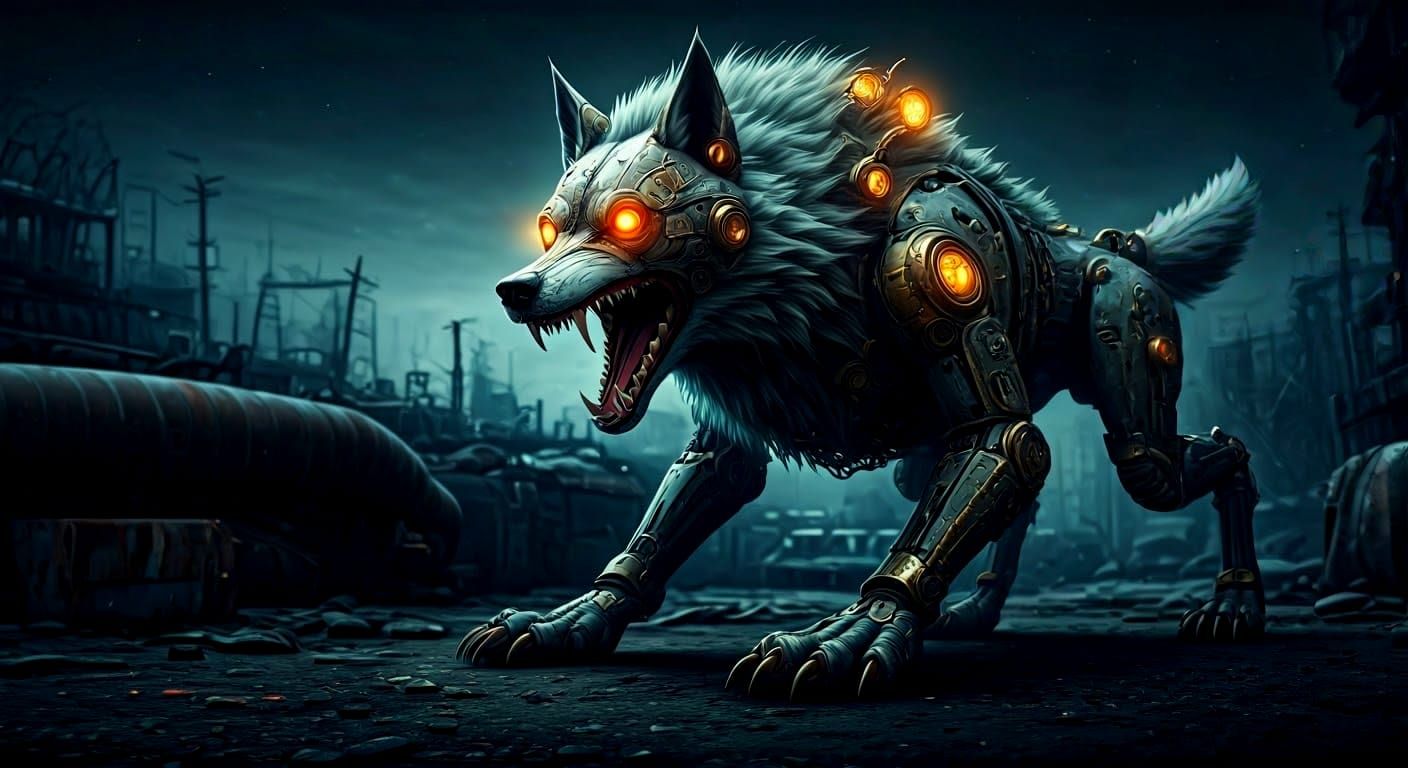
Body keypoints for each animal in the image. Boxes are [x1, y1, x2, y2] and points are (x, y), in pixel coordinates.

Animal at [457, 34, 1265, 700]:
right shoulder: (732, 429)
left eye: (628, 220)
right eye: (550, 229)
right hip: (930, 451)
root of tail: (1111, 246)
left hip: (1131, 358)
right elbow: (677, 516)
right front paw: (575, 617)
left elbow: (1000, 443)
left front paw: (859, 631)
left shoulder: (925, 247)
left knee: (1179, 456)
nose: (515, 290)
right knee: (1017, 487)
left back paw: (1235, 601)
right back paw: (980, 609)